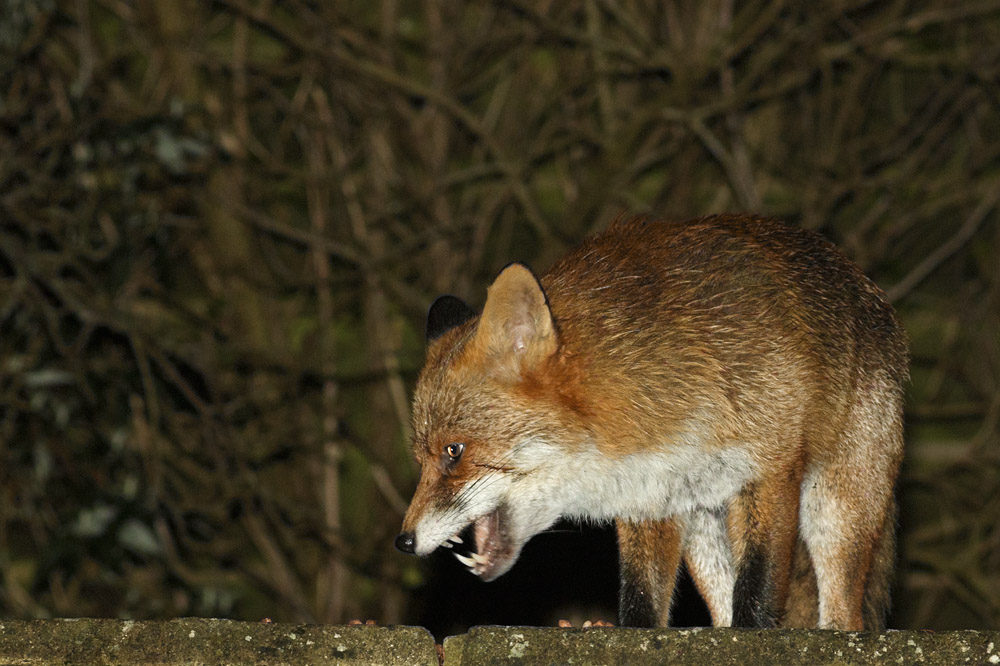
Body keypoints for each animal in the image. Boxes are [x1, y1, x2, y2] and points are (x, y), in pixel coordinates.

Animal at [394, 214, 907, 630]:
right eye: (421, 457)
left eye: (453, 451)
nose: (404, 540)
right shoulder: (650, 499)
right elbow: (642, 599)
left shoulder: (770, 465)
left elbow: (758, 590)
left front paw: (756, 636)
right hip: (704, 529)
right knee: (722, 607)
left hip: (835, 509)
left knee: (843, 614)